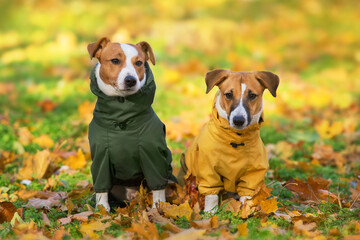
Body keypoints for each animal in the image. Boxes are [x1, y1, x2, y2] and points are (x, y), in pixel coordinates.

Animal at [88, 36, 176, 211]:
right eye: (115, 60)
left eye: (139, 63)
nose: (131, 80)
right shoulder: (100, 156)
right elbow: (101, 187)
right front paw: (102, 210)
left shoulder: (153, 155)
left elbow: (158, 187)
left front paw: (158, 208)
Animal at [179, 69, 280, 212]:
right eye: (228, 94)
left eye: (252, 95)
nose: (238, 120)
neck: (236, 137)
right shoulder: (208, 170)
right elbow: (211, 194)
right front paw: (211, 213)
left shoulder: (253, 174)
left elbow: (247, 195)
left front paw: (245, 211)